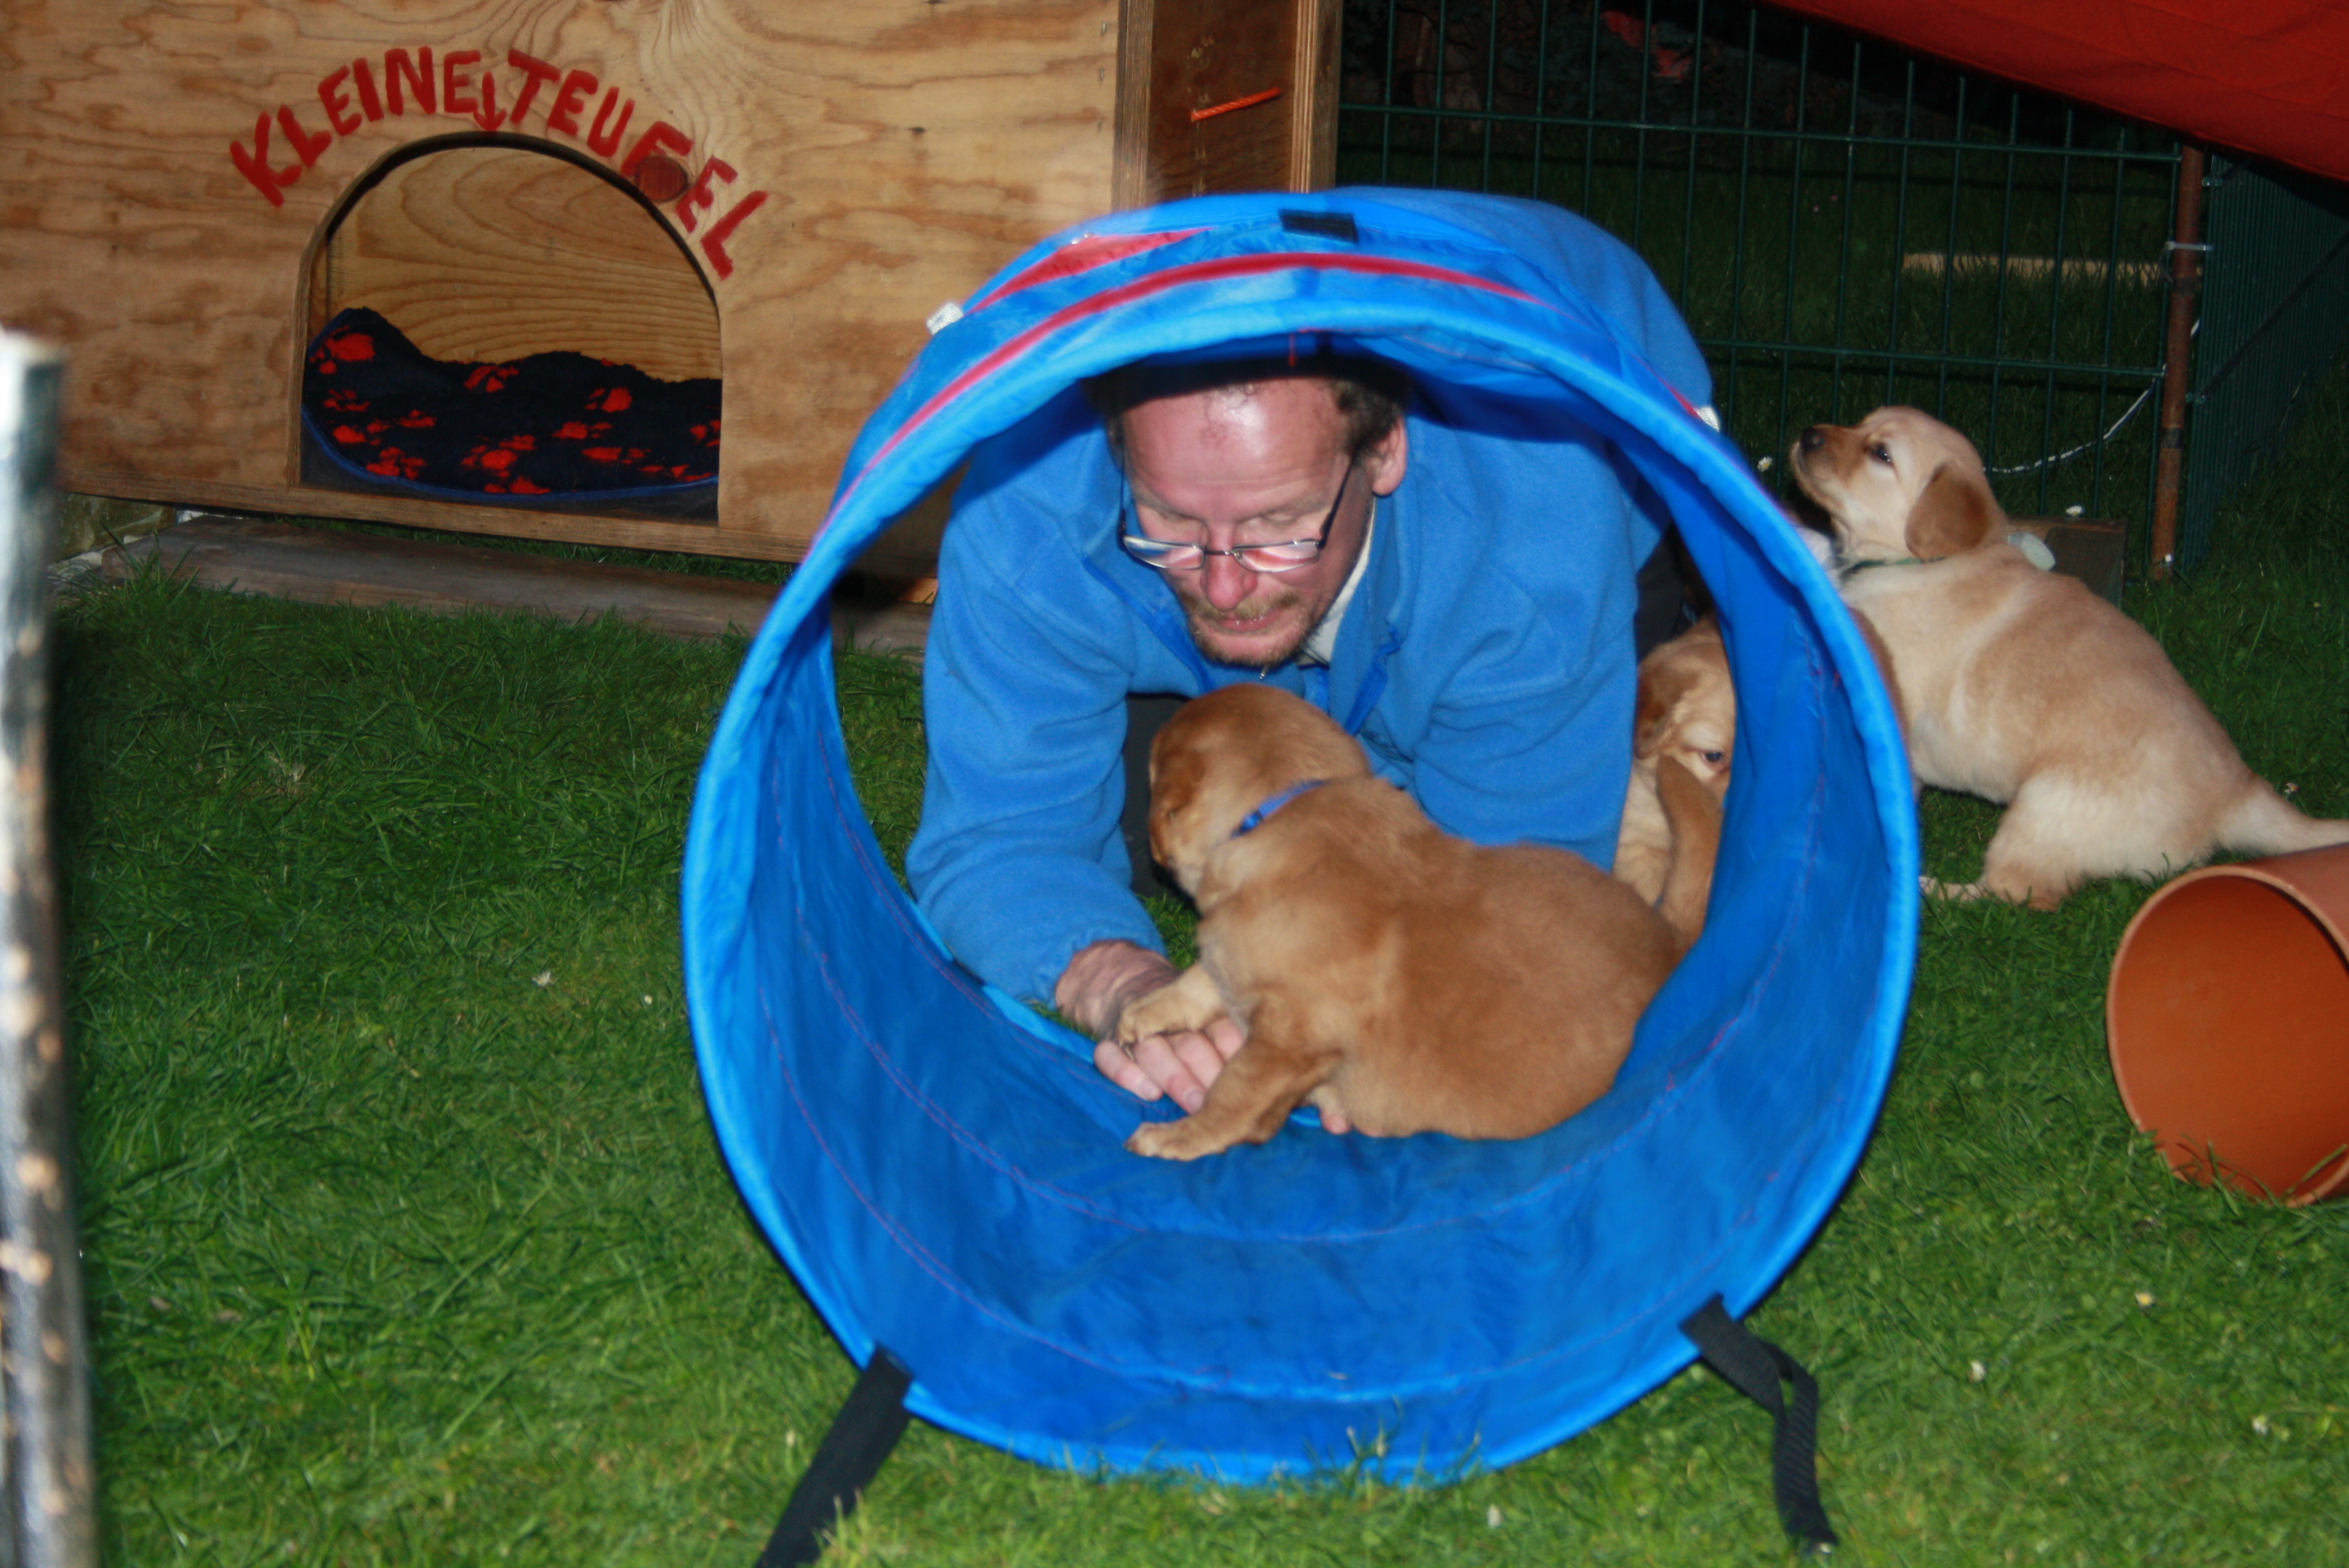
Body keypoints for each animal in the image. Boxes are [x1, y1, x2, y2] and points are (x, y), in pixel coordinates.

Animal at [1113, 683, 1715, 1160]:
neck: (1277, 812)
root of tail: (1671, 940)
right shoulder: (1236, 966)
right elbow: (1198, 980)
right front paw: (1143, 1010)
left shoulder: (1291, 1039)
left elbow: (1233, 1093)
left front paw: (1180, 1136)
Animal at [1790, 404, 2349, 908]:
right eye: (1859, 424)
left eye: (1881, 454)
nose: (1808, 433)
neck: (1928, 562)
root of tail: (2236, 795)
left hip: (2042, 807)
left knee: (2018, 894)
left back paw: (1930, 890)